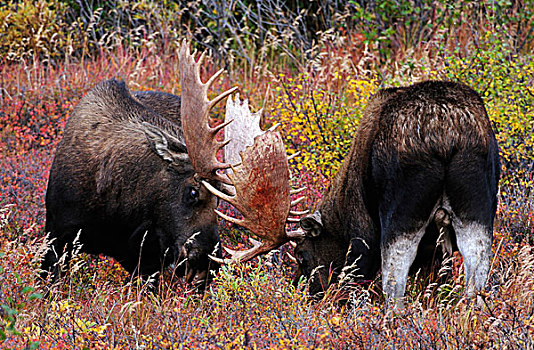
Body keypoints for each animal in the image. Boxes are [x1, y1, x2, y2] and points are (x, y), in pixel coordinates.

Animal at [205, 79, 502, 306]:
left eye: (301, 255)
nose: (306, 292)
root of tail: (445, 136)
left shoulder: (362, 228)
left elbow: (355, 275)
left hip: (401, 212)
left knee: (394, 280)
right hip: (477, 206)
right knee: (476, 275)